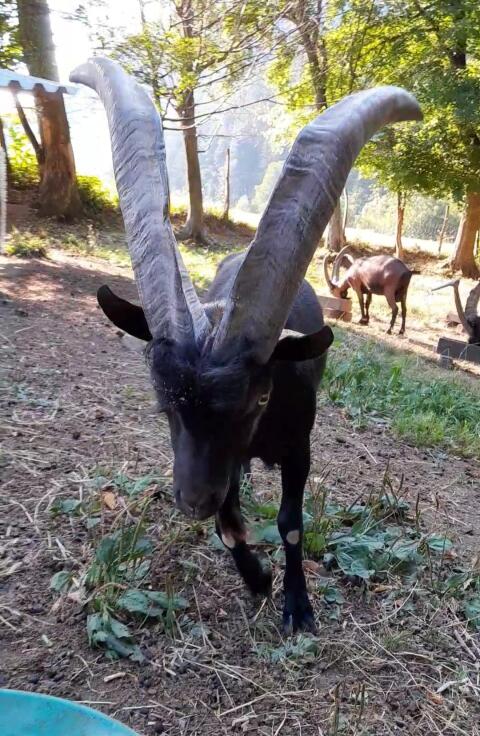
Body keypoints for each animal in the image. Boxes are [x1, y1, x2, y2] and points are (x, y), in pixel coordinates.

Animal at [71, 57, 421, 632]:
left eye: (260, 398)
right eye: (162, 402)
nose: (192, 500)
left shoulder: (298, 445)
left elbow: (291, 522)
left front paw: (297, 607)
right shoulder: (221, 458)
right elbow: (229, 519)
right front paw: (257, 578)